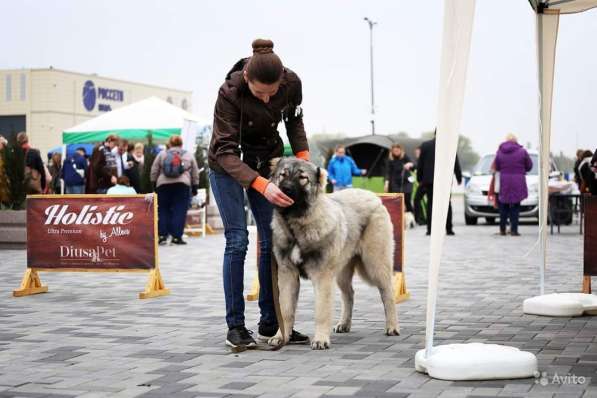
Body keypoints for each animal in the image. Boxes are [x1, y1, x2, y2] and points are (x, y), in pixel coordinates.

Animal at [266, 157, 398, 350]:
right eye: (283, 175)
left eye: (303, 178)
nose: (286, 189)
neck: (297, 224)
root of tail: (374, 196)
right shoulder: (287, 275)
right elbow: (285, 310)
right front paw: (280, 337)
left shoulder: (322, 277)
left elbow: (321, 311)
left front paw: (320, 339)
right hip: (342, 271)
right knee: (349, 294)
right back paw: (344, 324)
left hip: (375, 265)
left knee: (388, 293)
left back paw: (392, 326)